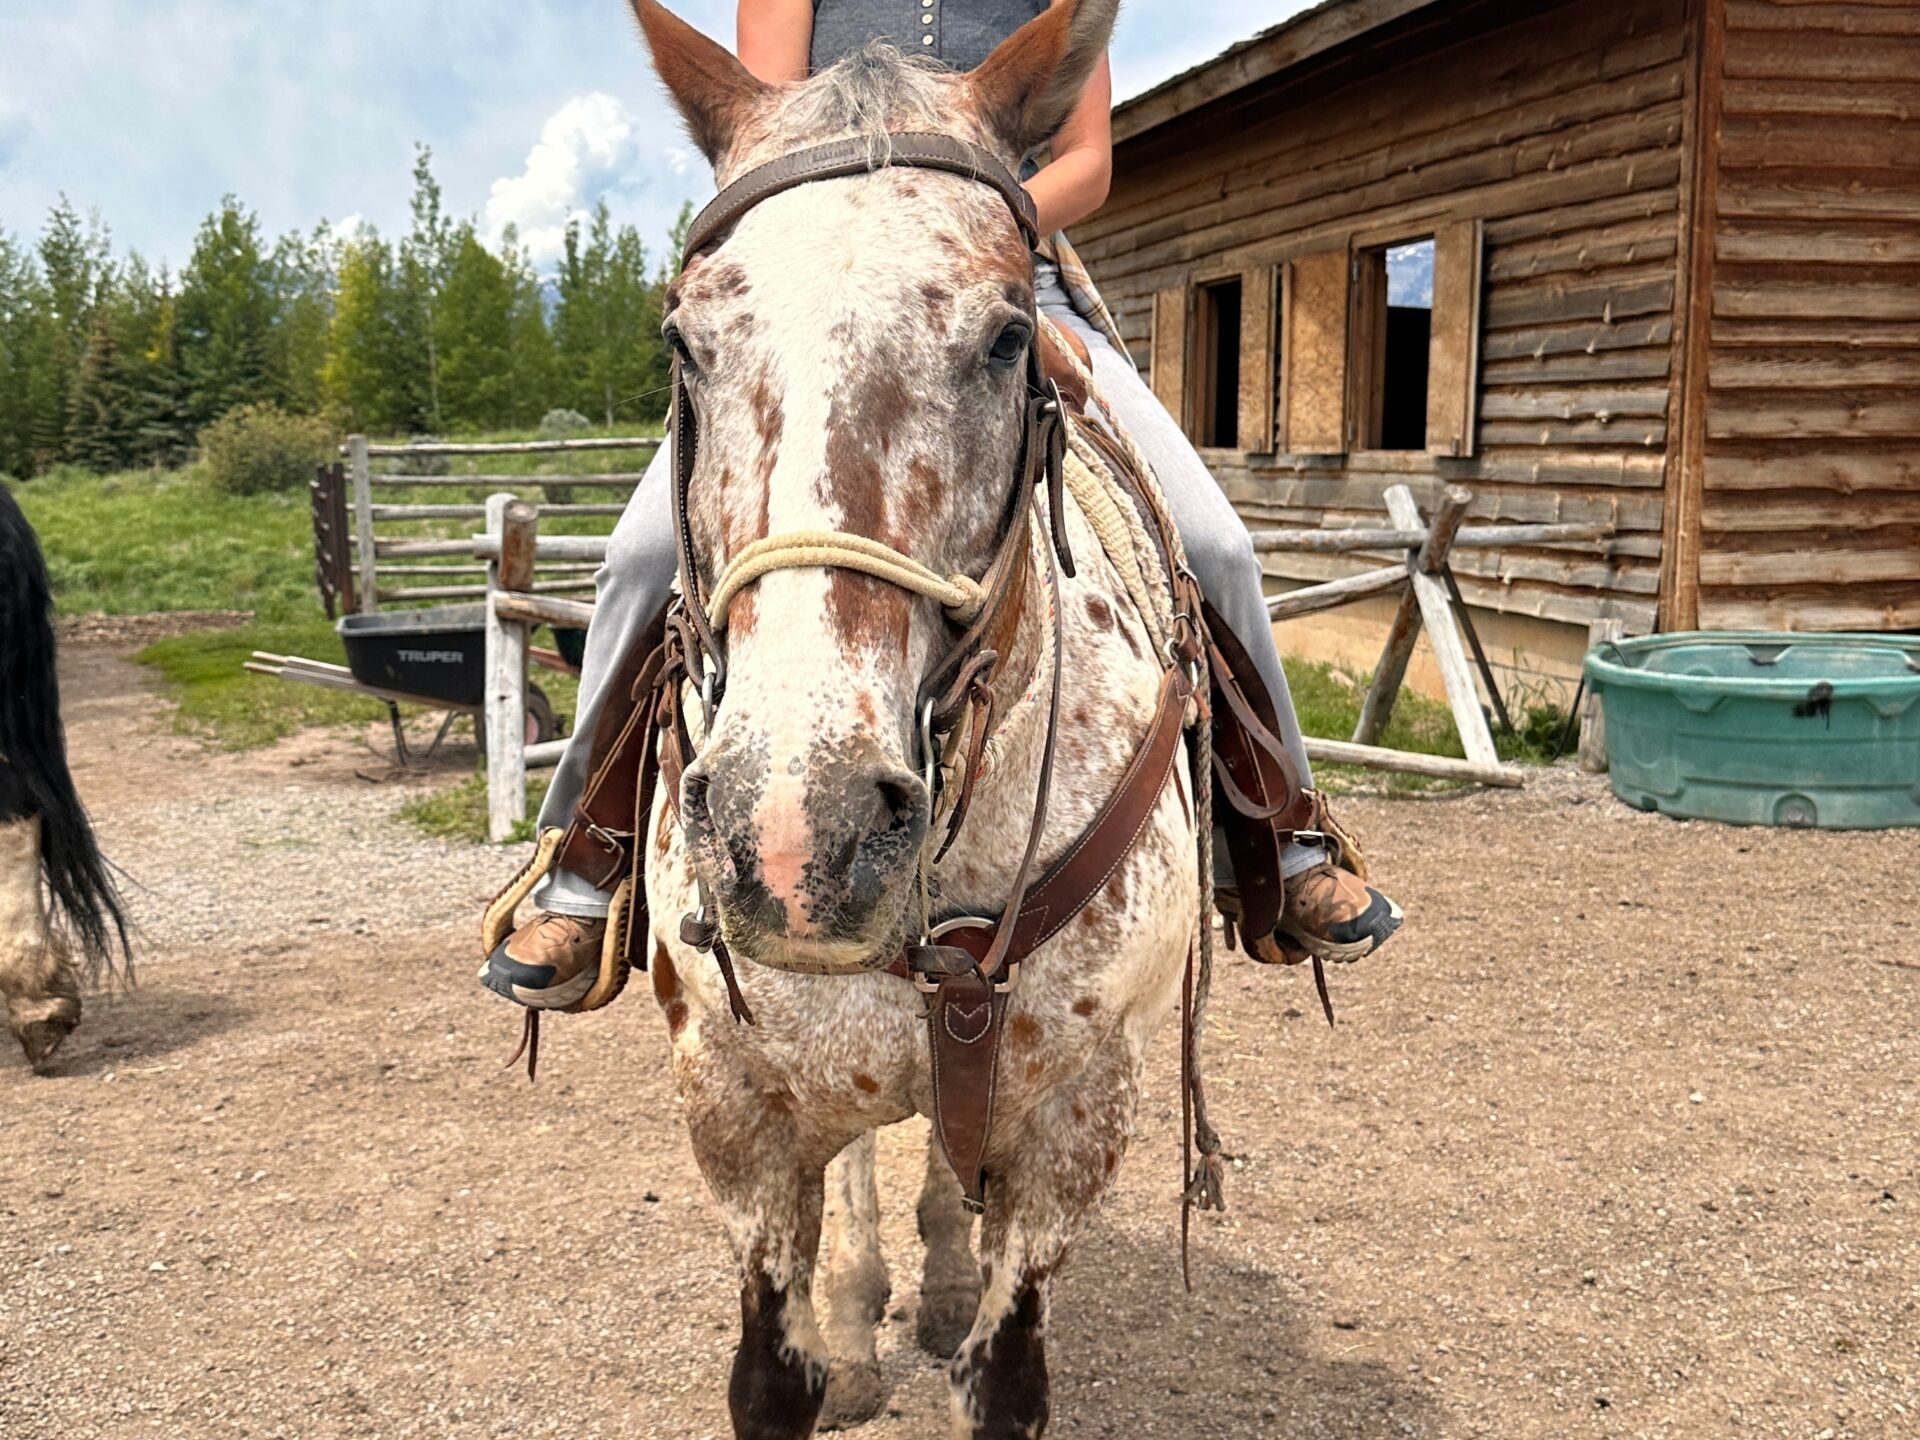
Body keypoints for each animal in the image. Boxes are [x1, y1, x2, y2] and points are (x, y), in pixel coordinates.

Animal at [628, 2, 1202, 1434]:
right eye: (683, 343)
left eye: (1006, 338)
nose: (796, 836)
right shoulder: (734, 1112)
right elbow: (770, 1373)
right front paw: (833, 1341)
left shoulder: (1076, 1121)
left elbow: (1007, 1373)